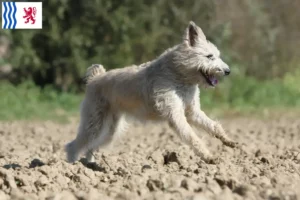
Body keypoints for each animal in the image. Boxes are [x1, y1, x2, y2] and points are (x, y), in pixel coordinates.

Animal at [65, 21, 237, 164]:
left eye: (217, 56)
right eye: (209, 56)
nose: (228, 71)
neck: (178, 74)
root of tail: (95, 78)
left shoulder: (192, 112)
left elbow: (213, 126)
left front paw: (228, 140)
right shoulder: (175, 114)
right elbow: (192, 136)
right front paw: (209, 157)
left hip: (110, 131)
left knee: (90, 146)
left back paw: (90, 164)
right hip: (94, 123)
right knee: (74, 144)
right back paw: (71, 165)